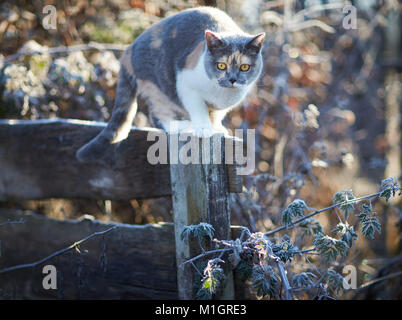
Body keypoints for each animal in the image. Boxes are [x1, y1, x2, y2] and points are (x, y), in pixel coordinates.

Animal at [76, 6, 264, 164]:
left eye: (245, 67)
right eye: (221, 66)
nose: (232, 79)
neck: (221, 94)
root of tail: (129, 49)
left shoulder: (221, 107)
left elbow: (216, 115)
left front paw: (217, 128)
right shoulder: (185, 84)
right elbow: (199, 109)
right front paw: (204, 129)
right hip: (157, 87)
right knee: (157, 116)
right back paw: (182, 126)